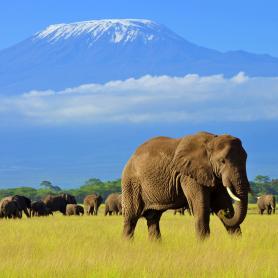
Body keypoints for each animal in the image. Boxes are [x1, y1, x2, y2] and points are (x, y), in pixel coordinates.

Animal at [121, 131, 250, 240]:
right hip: (131, 183)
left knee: (153, 218)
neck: (212, 140)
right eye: (222, 161)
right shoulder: (189, 175)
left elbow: (222, 202)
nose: (224, 214)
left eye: (245, 159)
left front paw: (237, 242)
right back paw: (127, 244)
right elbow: (201, 207)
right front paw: (203, 244)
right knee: (132, 216)